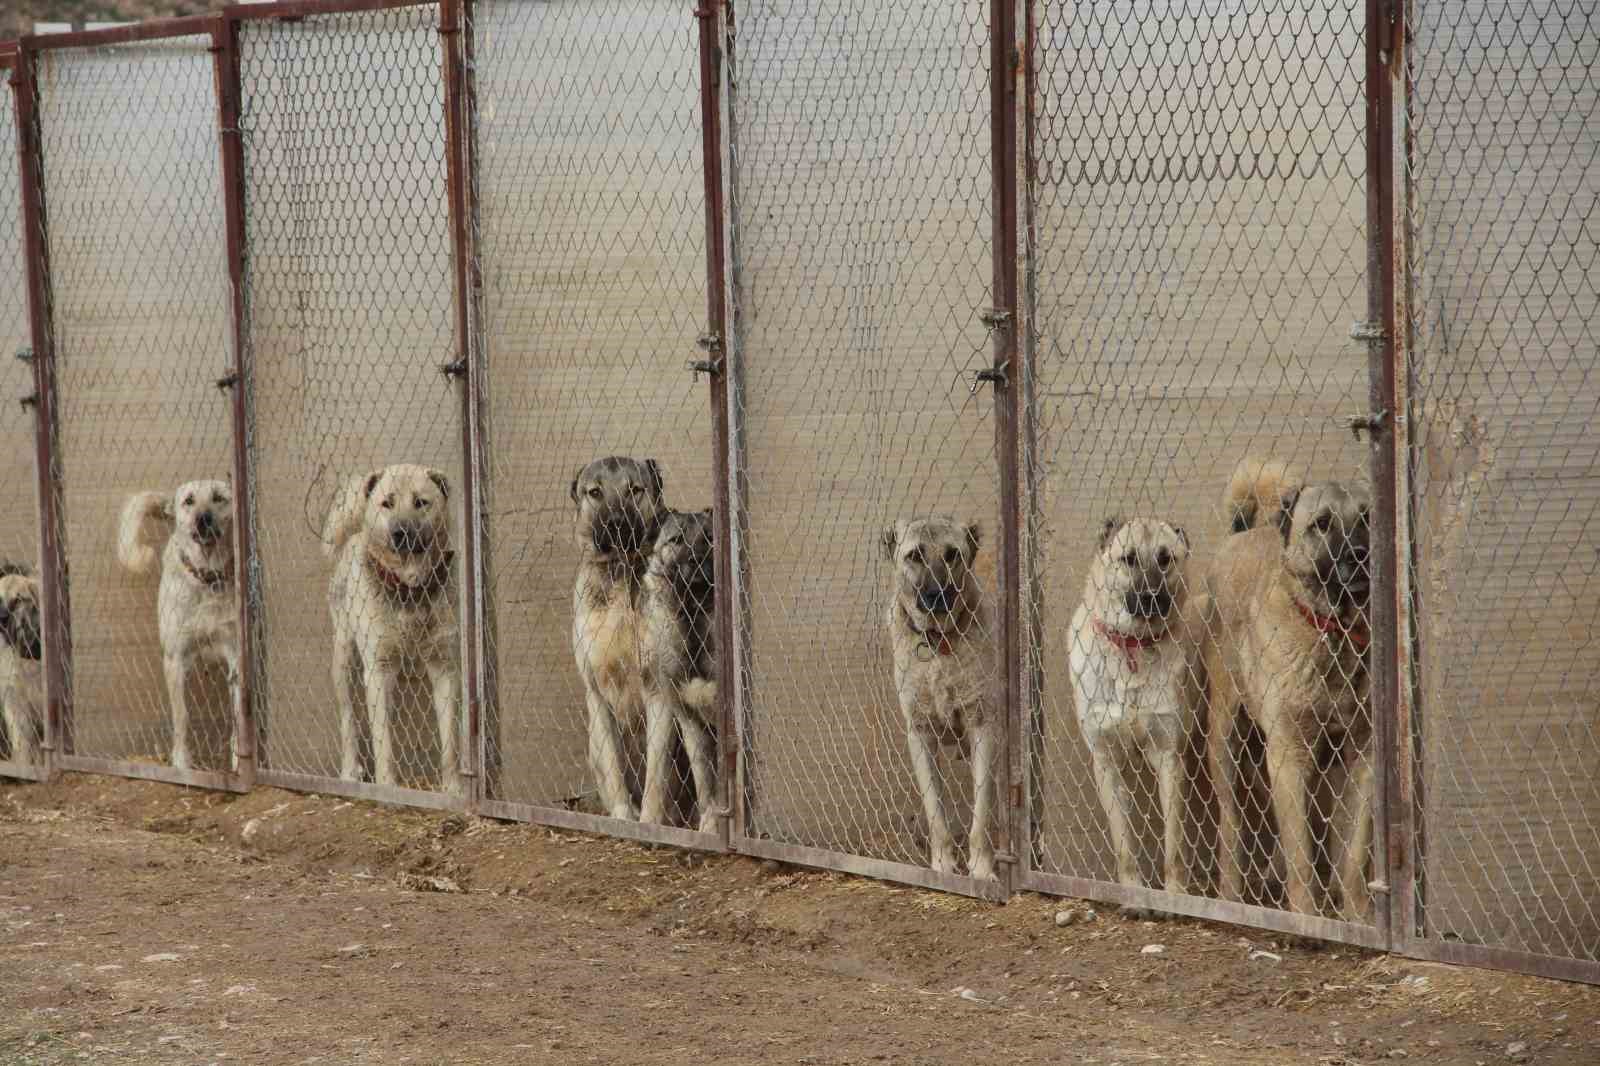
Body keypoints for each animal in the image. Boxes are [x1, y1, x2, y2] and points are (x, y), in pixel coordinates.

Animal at [116, 476, 238, 768]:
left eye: (219, 498)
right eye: (189, 501)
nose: (203, 519)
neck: (206, 578)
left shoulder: (235, 655)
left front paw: (240, 759)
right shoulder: (175, 659)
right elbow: (181, 716)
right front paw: (182, 762)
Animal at [323, 464, 464, 787]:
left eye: (421, 502)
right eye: (387, 503)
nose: (401, 534)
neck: (410, 589)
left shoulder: (445, 666)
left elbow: (450, 743)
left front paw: (453, 788)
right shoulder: (378, 668)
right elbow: (383, 742)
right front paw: (387, 785)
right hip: (343, 660)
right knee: (348, 719)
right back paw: (350, 772)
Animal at [883, 515, 992, 877]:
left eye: (952, 554)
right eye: (914, 555)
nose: (937, 595)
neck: (937, 643)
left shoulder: (982, 727)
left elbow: (981, 815)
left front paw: (982, 868)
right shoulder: (921, 734)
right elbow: (935, 811)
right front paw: (943, 864)